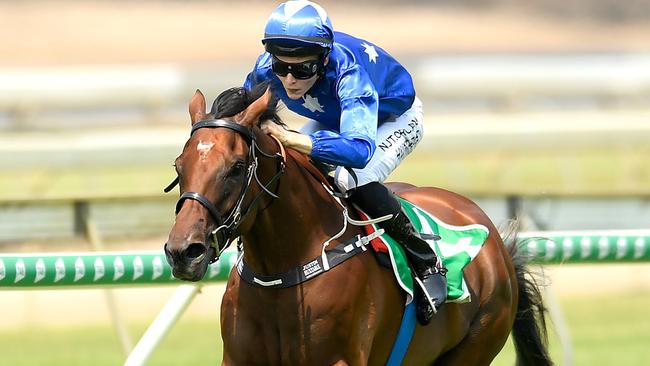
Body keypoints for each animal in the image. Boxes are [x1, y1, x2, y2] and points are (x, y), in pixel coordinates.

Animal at [163, 86, 552, 366]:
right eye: (179, 166)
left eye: (237, 166)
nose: (184, 252)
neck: (283, 271)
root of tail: (498, 245)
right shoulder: (238, 359)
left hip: (477, 343)